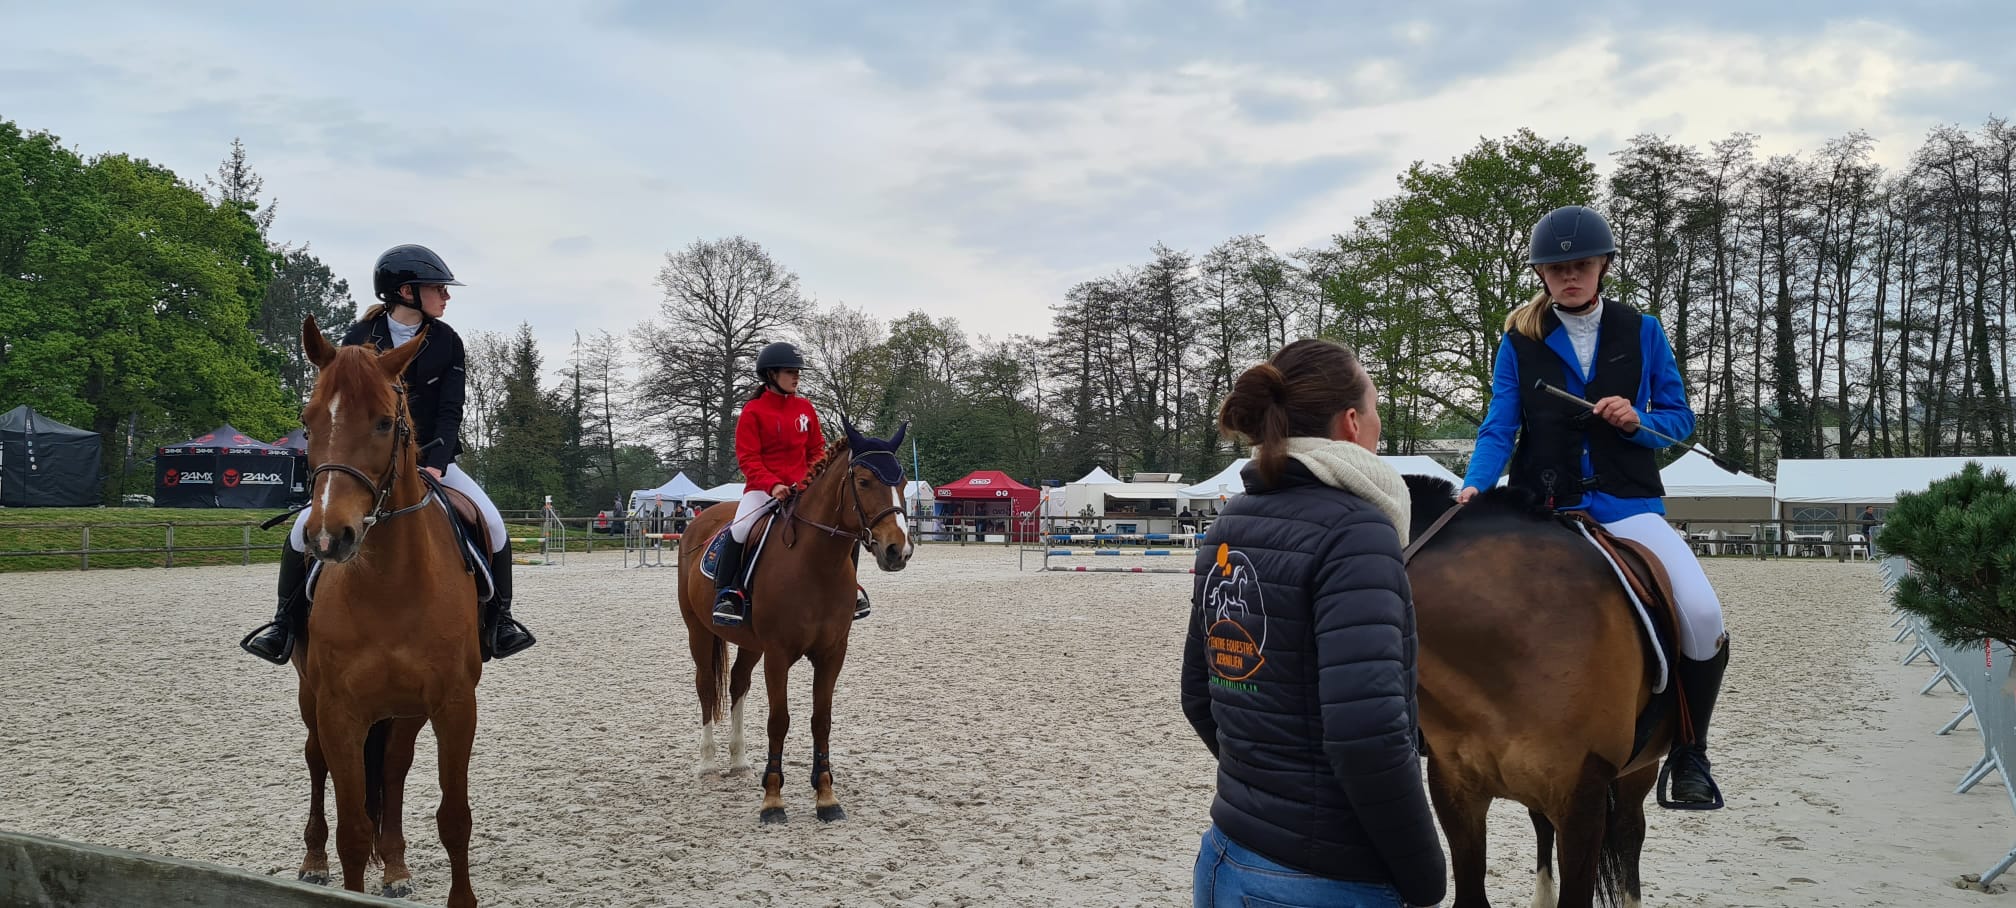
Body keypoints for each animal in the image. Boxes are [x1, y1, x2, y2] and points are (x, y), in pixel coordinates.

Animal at [292, 314, 487, 903]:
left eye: (383, 422)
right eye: (308, 423)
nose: (328, 537)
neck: (388, 584)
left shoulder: (453, 704)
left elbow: (455, 818)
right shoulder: (339, 711)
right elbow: (354, 829)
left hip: (406, 709)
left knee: (396, 769)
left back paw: (396, 868)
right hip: (311, 697)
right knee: (315, 761)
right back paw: (313, 860)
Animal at [677, 417, 915, 823]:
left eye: (901, 483)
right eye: (864, 481)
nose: (898, 550)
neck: (816, 565)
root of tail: (702, 519)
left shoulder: (832, 654)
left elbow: (822, 720)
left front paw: (826, 796)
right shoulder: (778, 654)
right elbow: (779, 721)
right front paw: (773, 800)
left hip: (749, 643)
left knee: (737, 684)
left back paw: (739, 762)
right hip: (699, 632)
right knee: (707, 687)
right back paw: (708, 765)